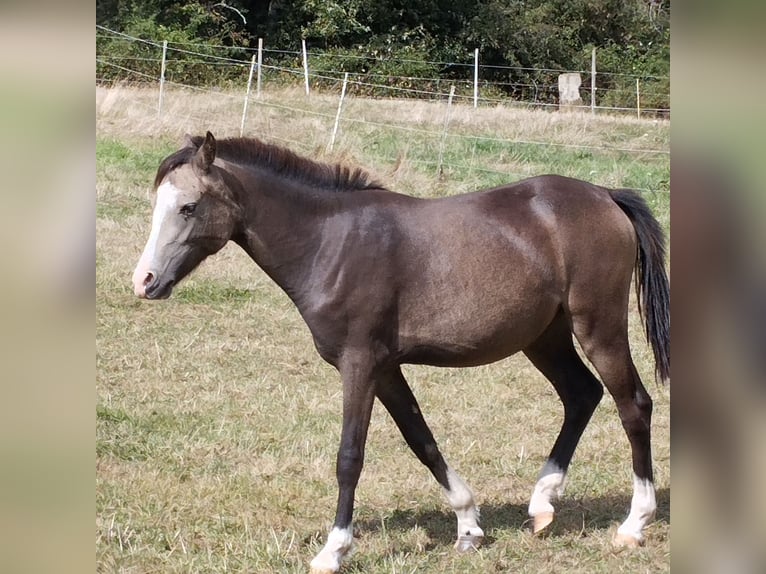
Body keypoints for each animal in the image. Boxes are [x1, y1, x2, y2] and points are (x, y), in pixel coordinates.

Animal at [134, 133, 672, 572]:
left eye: (188, 207)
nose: (144, 281)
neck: (329, 242)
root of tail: (605, 195)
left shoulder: (359, 365)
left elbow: (349, 456)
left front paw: (334, 550)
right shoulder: (388, 369)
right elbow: (422, 441)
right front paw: (469, 526)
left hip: (598, 328)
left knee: (633, 405)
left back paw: (634, 523)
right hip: (545, 338)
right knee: (581, 396)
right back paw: (542, 504)